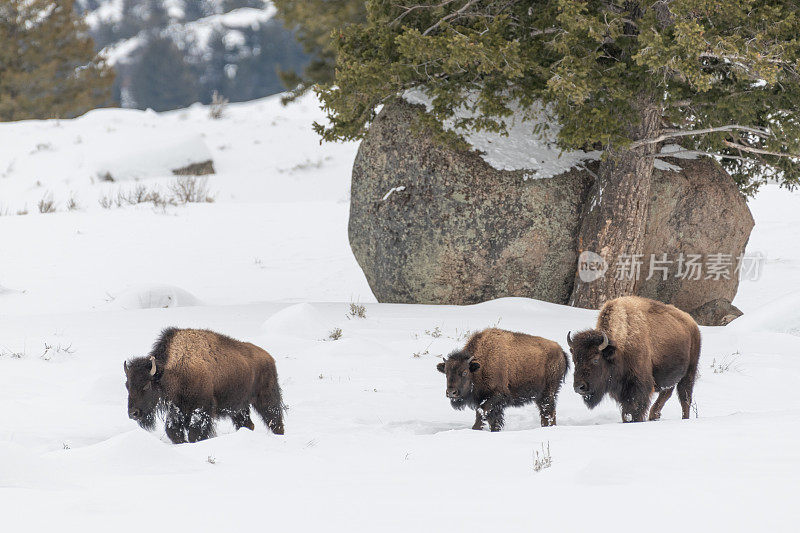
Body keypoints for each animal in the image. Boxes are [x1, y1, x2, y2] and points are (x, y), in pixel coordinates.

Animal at [123, 326, 286, 442]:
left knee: (275, 420)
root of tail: (269, 358)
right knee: (248, 424)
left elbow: (195, 433)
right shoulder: (176, 411)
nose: (133, 413)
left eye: (146, 385)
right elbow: (174, 432)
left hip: (266, 399)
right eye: (127, 385)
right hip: (239, 408)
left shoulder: (201, 409)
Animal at [438, 326, 568, 430]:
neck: (480, 365)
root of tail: (561, 351)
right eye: (446, 372)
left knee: (549, 411)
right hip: (540, 395)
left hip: (548, 392)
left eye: (465, 372)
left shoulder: (498, 396)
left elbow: (484, 413)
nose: (451, 392)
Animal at [568, 294, 700, 422]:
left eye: (595, 359)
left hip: (689, 373)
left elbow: (633, 411)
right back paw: (654, 416)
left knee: (685, 398)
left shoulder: (638, 386)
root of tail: (692, 324)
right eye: (575, 360)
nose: (579, 387)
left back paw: (684, 418)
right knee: (667, 393)